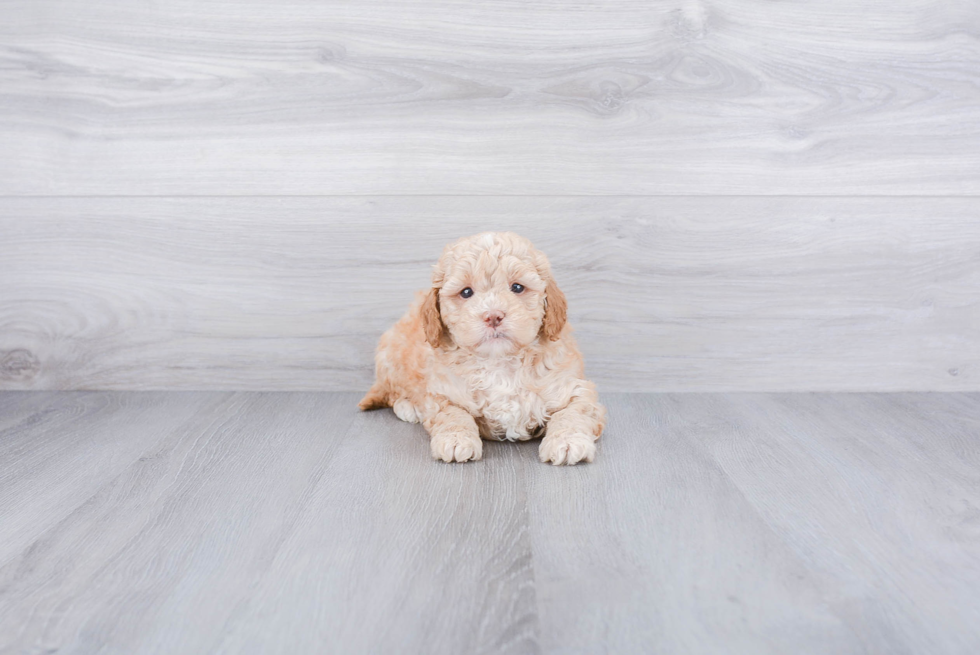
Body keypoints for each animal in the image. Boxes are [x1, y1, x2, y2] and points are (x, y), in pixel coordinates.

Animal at [360, 233, 604, 464]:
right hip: (391, 358)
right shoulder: (443, 393)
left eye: (517, 287)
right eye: (466, 292)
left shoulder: (575, 388)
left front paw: (568, 441)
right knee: (392, 393)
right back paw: (410, 407)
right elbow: (453, 414)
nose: (493, 316)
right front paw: (455, 439)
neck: (499, 362)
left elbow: (573, 412)